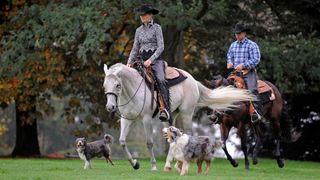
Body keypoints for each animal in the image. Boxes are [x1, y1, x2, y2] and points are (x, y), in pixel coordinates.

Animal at [103, 62, 255, 171]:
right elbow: (122, 141)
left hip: (186, 113)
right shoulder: (126, 119)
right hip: (170, 116)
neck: (133, 88)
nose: (110, 107)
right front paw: (135, 164)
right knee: (174, 136)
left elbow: (149, 143)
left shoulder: (146, 119)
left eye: (117, 85)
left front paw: (153, 165)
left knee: (188, 133)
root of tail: (193, 80)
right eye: (104, 86)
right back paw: (172, 163)